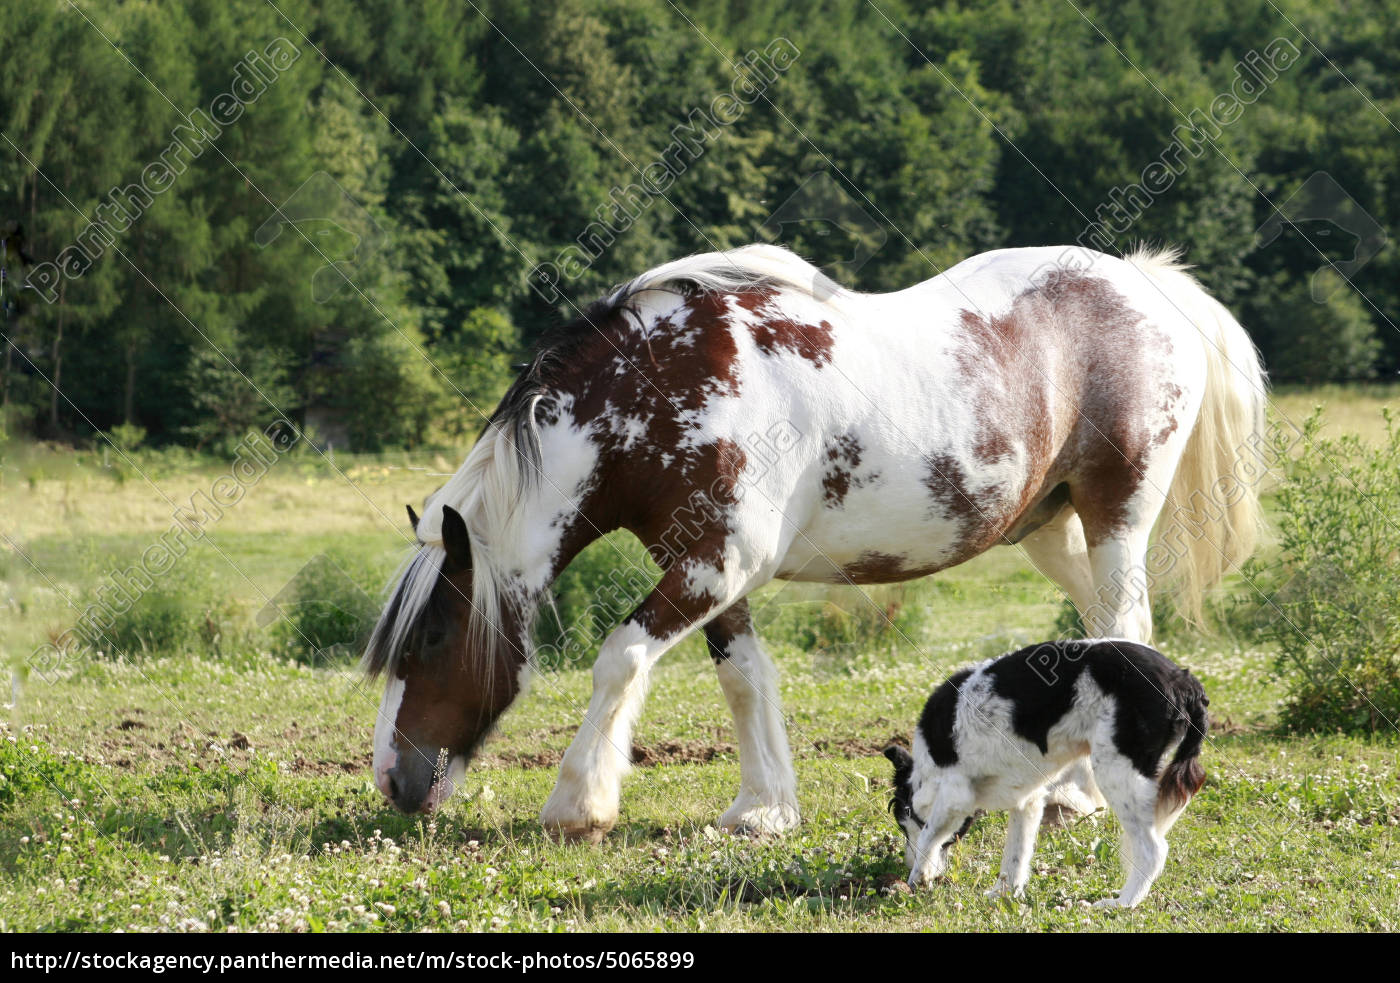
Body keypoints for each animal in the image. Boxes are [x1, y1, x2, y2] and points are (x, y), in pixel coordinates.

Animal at [364, 242, 1271, 845]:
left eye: (433, 635)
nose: (392, 779)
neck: (663, 388)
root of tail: (1144, 280)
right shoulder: (710, 571)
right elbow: (744, 680)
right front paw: (763, 806)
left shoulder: (712, 566)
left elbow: (619, 657)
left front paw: (578, 802)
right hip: (1046, 525)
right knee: (1095, 630)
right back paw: (1069, 791)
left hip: (1115, 512)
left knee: (1124, 621)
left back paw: (1093, 796)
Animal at [884, 638, 1204, 907]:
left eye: (902, 823)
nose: (904, 865)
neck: (926, 768)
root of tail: (1183, 680)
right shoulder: (1028, 800)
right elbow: (1016, 856)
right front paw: (1003, 895)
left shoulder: (955, 795)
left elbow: (928, 835)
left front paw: (916, 878)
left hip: (1118, 772)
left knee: (1152, 850)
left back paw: (1122, 904)